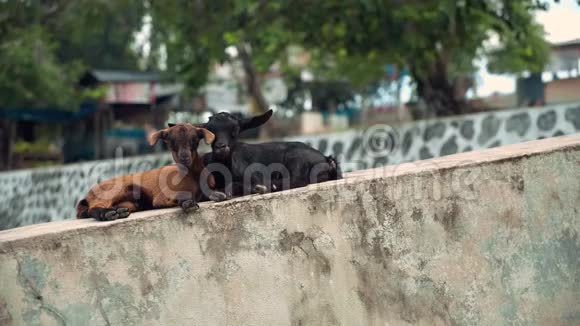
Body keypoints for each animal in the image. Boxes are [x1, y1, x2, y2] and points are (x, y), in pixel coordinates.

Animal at [77, 124, 218, 222]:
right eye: (171, 143)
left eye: (195, 140)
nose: (184, 158)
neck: (194, 177)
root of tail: (87, 196)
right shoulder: (162, 196)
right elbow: (169, 200)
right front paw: (188, 203)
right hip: (110, 191)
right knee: (93, 208)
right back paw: (108, 214)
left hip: (130, 201)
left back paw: (119, 211)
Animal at [170, 109, 342, 199]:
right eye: (209, 131)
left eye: (235, 130)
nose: (220, 147)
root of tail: (327, 159)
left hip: (297, 160)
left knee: (295, 180)